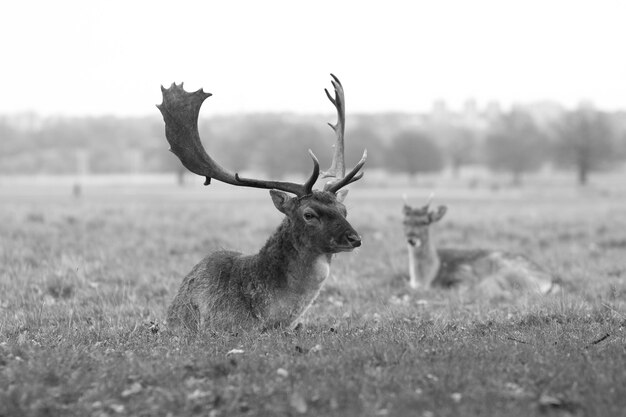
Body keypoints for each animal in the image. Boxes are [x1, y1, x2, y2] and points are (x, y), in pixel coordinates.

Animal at [402, 197, 560, 298]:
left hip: (506, 276)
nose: (412, 240)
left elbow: (457, 288)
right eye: (404, 221)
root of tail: (549, 279)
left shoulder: (464, 274)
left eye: (425, 222)